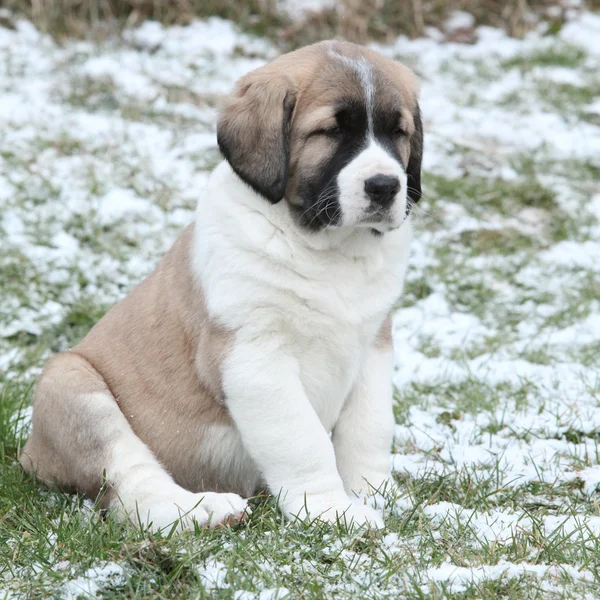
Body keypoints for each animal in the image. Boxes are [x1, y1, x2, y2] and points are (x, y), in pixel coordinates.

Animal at [18, 39, 422, 532]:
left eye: (398, 132)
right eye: (330, 131)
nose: (385, 186)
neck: (326, 250)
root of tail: (30, 455)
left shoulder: (373, 345)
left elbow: (369, 428)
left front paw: (375, 494)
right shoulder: (254, 358)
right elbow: (302, 440)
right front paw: (331, 509)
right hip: (70, 384)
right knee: (131, 487)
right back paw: (205, 510)